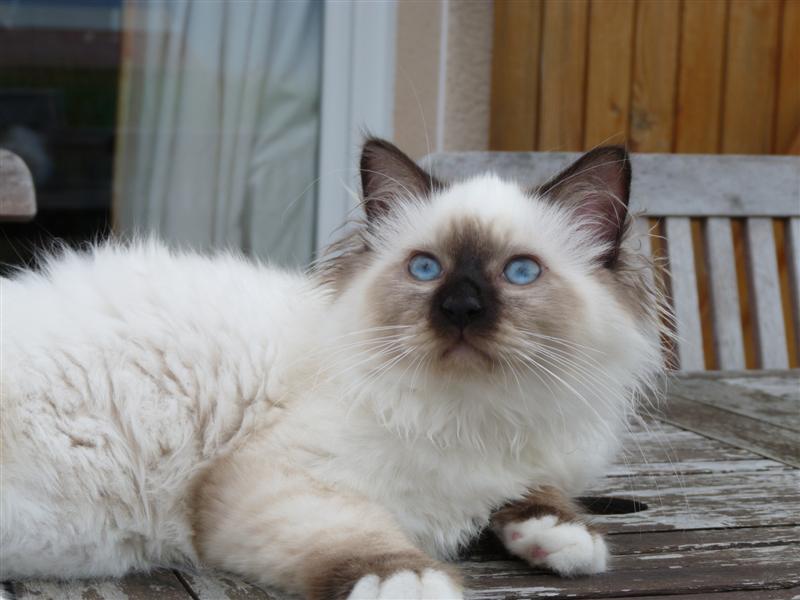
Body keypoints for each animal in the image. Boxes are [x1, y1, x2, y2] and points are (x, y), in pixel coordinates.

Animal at [0, 137, 664, 600]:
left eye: (520, 272)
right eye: (426, 269)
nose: (460, 309)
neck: (472, 416)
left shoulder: (523, 464)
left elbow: (535, 495)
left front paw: (564, 539)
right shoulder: (273, 481)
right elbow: (362, 537)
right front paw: (411, 584)